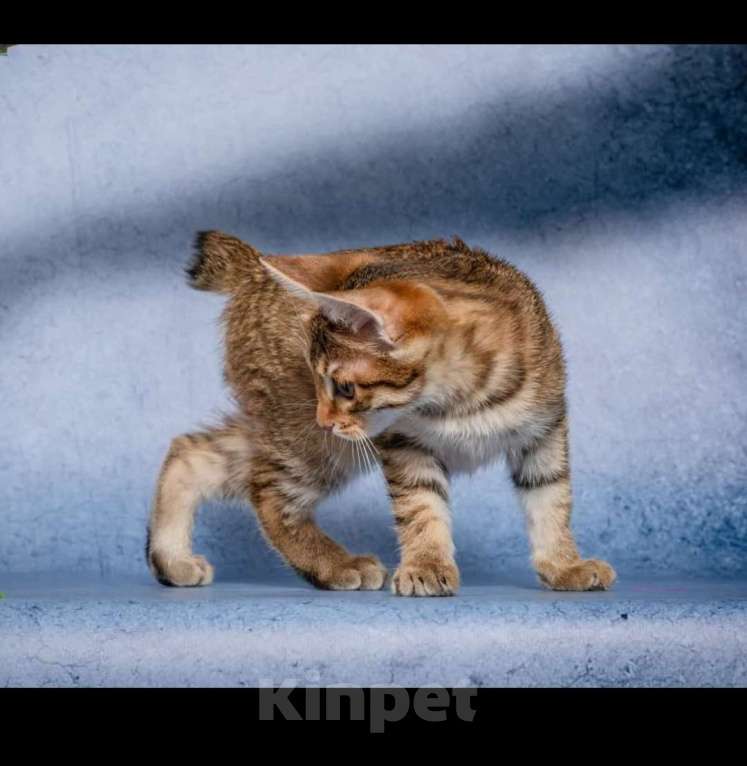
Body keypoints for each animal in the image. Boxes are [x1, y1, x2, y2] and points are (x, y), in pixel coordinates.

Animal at [145, 231, 612, 596]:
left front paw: (563, 565)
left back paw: (172, 560)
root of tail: (255, 268)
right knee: (268, 490)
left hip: (287, 427)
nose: (324, 417)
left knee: (191, 451)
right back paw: (335, 566)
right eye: (318, 379)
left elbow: (551, 499)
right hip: (310, 438)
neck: (462, 400)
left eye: (344, 388)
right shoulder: (402, 443)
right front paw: (427, 565)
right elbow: (421, 505)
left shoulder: (546, 430)